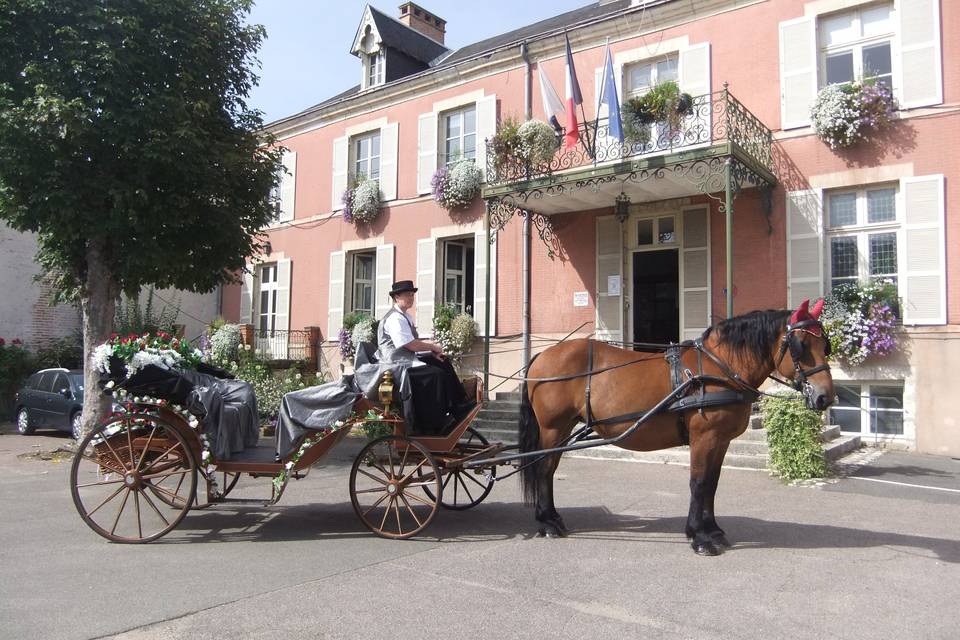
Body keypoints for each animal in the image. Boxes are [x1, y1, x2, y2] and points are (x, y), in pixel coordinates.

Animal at [516, 300, 832, 556]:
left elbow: (712, 483)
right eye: (801, 346)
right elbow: (699, 483)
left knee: (549, 469)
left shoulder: (721, 440)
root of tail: (543, 355)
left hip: (564, 429)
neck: (720, 368)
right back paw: (547, 523)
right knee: (543, 469)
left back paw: (552, 519)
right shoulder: (704, 438)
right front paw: (699, 537)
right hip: (553, 428)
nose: (825, 397)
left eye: (826, 345)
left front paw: (712, 530)